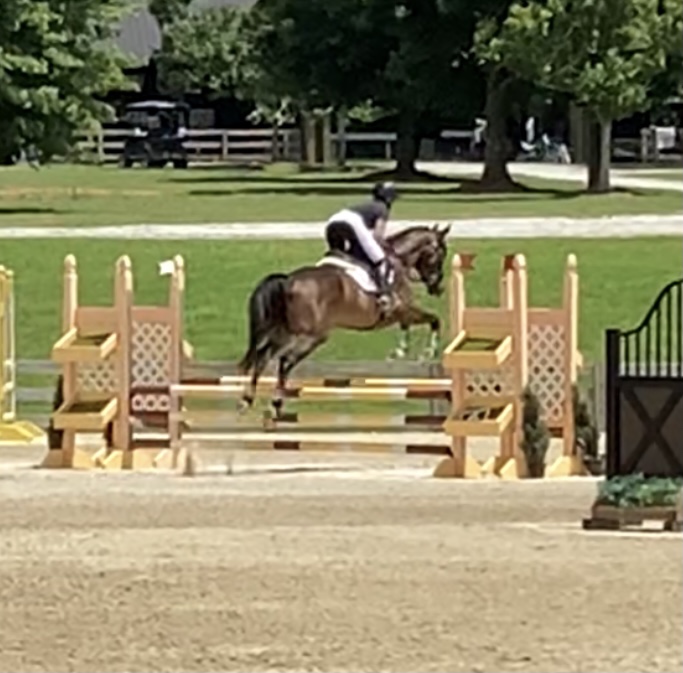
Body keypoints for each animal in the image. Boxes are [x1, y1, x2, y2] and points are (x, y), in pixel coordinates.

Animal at [237, 223, 451, 414]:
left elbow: (411, 325)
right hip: (312, 336)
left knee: (263, 356)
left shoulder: (400, 312)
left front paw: (399, 352)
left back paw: (247, 400)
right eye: (440, 254)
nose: (438, 287)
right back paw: (275, 403)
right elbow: (434, 319)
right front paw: (427, 353)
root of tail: (287, 281)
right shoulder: (401, 310)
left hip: (286, 332)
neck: (398, 260)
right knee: (284, 361)